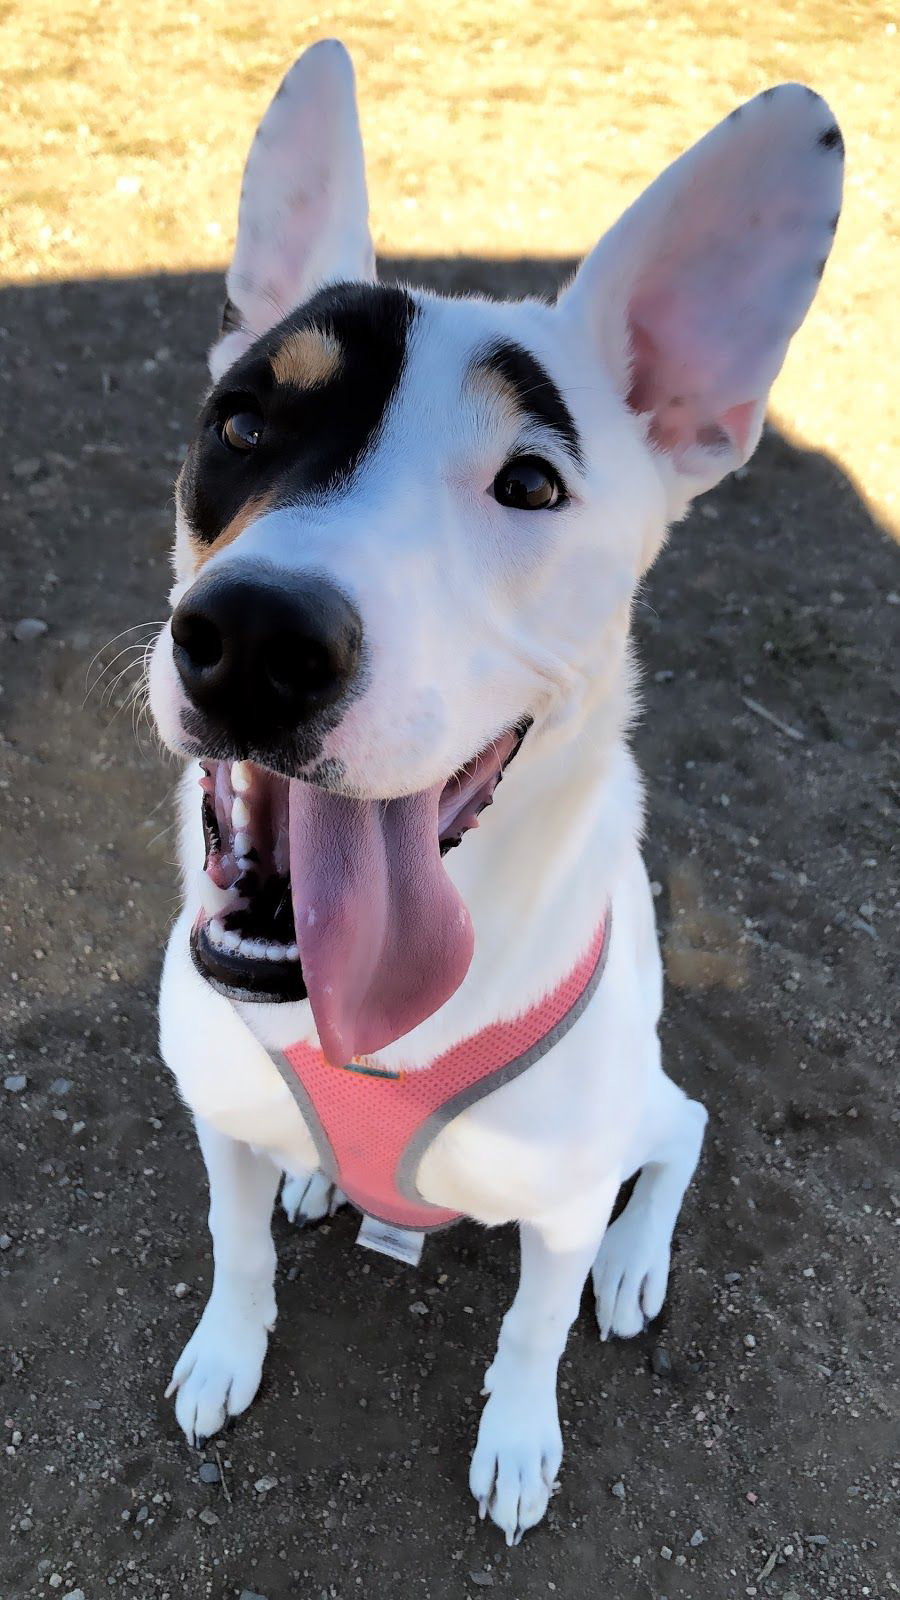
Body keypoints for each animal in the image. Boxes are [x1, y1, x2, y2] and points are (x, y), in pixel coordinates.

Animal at [147, 41, 842, 1544]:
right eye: (242, 423)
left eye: (529, 482)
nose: (255, 639)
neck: (370, 1035)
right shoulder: (215, 1117)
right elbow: (234, 1244)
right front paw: (229, 1346)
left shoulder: (560, 1205)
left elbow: (533, 1327)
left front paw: (520, 1440)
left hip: (634, 1109)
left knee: (681, 1129)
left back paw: (637, 1265)